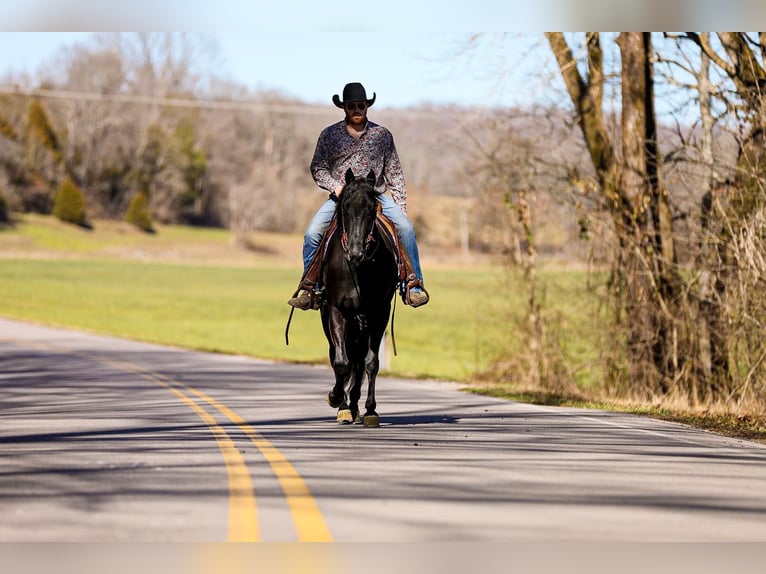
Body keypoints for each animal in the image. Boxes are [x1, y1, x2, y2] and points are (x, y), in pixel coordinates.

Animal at [320, 168, 400, 428]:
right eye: (345, 205)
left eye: (372, 207)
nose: (355, 253)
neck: (358, 270)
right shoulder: (336, 310)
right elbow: (340, 362)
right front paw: (337, 400)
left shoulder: (379, 313)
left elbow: (370, 363)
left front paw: (371, 410)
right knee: (341, 356)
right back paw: (346, 405)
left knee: (358, 362)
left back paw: (355, 405)